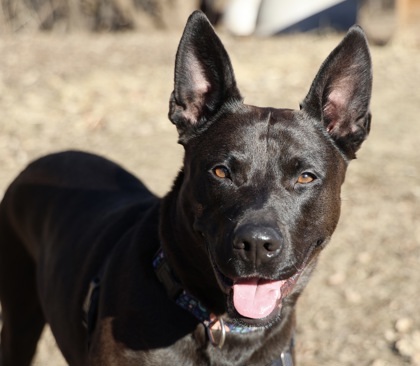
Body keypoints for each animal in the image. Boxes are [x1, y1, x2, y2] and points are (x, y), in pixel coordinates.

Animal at [0, 10, 372, 364]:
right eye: (221, 172)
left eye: (305, 177)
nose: (256, 244)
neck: (223, 329)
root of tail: (45, 158)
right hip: (20, 322)